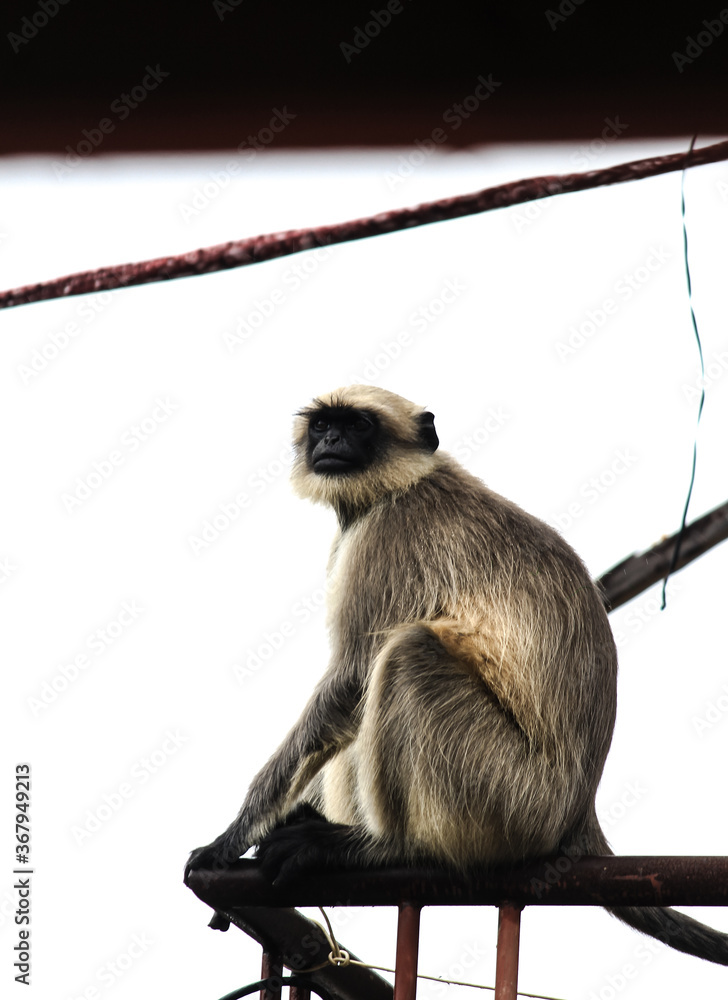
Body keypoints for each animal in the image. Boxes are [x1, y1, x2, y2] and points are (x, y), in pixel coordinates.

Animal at [186, 385, 728, 966]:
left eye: (358, 426)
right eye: (323, 426)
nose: (331, 443)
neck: (400, 485)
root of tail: (579, 811)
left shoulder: (387, 535)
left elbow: (349, 681)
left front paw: (227, 840)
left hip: (510, 796)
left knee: (405, 653)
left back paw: (383, 847)